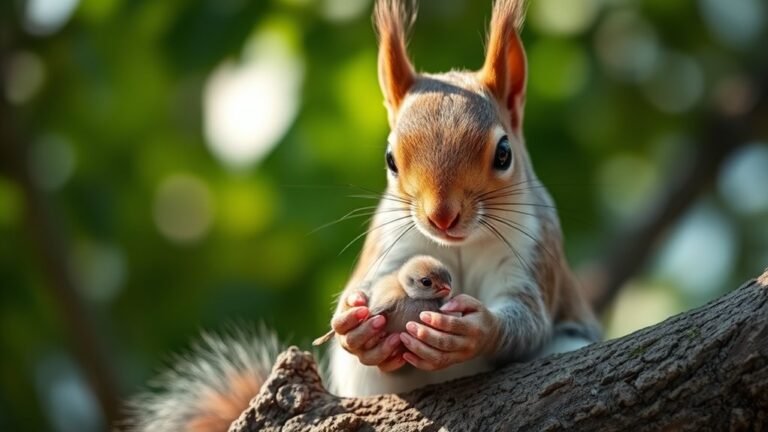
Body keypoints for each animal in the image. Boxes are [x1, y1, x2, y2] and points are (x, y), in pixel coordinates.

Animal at [125, 0, 600, 430]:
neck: (458, 246)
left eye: (504, 153)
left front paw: (476, 329)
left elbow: (529, 318)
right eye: (391, 159)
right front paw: (357, 327)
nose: (441, 217)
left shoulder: (535, 249)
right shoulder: (391, 244)